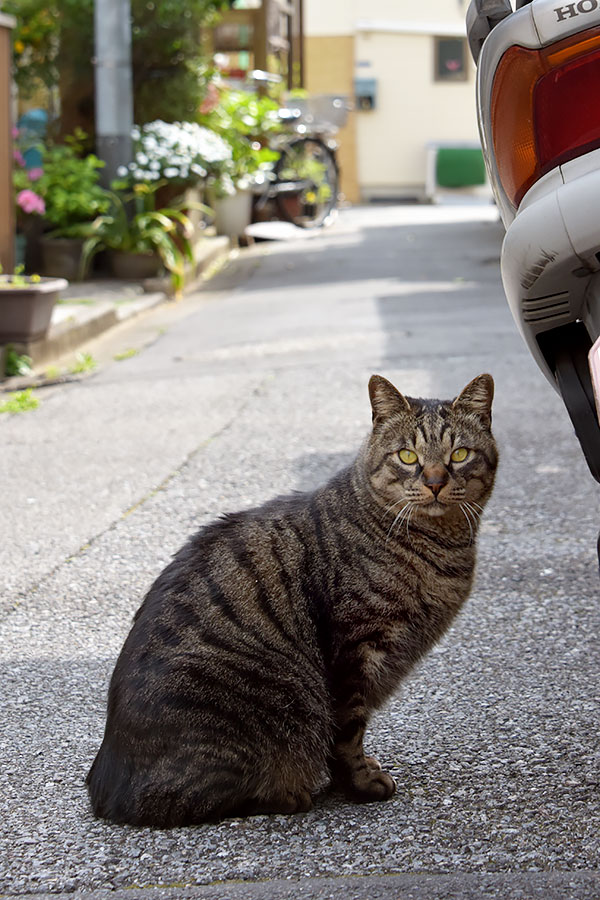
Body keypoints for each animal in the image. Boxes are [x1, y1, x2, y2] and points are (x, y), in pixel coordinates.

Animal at [85, 372, 496, 828]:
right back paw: (288, 792)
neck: (439, 547)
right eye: (408, 456)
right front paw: (360, 784)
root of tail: (106, 789)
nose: (435, 482)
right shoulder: (353, 652)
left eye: (459, 454)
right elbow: (347, 734)